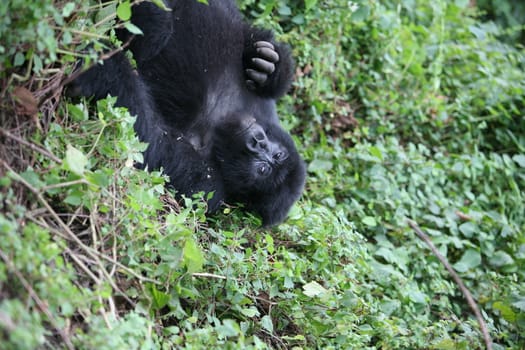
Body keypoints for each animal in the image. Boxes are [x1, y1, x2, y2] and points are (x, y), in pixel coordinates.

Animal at [70, 0, 308, 227]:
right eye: (277, 155)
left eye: (263, 169)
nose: (257, 141)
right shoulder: (265, 110)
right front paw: (269, 64)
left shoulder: (208, 187)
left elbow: (148, 140)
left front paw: (106, 70)